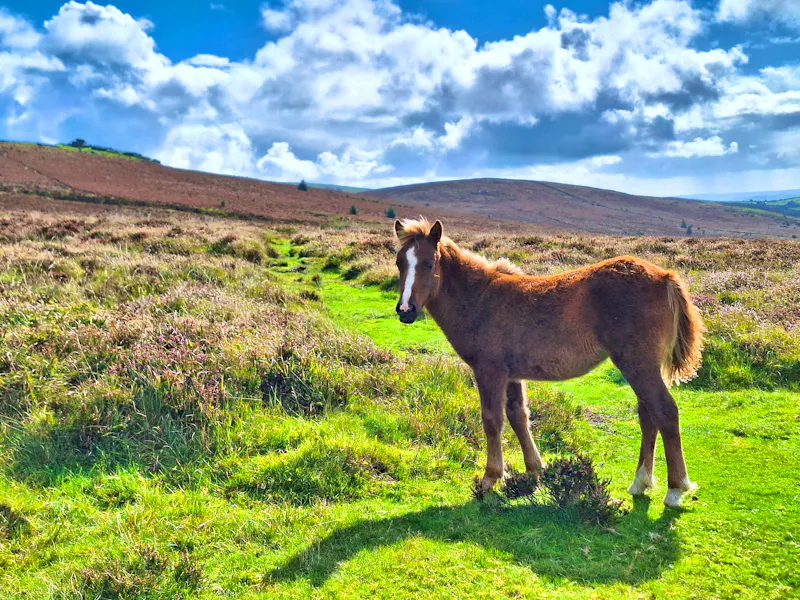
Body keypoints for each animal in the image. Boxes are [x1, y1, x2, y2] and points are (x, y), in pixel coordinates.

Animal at [393, 217, 705, 507]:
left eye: (428, 263)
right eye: (399, 263)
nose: (405, 311)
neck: (479, 298)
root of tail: (665, 276)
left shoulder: (489, 371)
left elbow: (492, 420)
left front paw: (490, 478)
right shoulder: (512, 375)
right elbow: (519, 416)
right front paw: (535, 470)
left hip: (638, 364)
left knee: (665, 411)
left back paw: (675, 489)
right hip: (639, 366)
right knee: (648, 415)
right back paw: (640, 482)